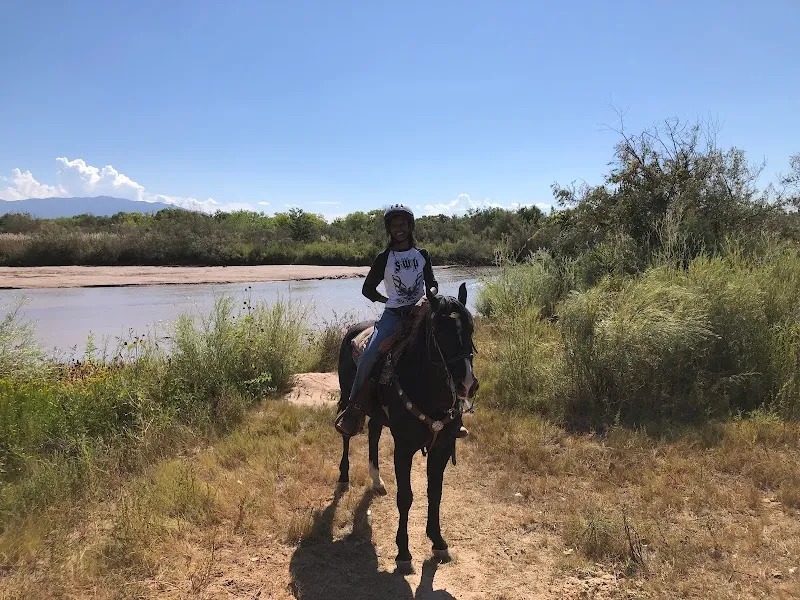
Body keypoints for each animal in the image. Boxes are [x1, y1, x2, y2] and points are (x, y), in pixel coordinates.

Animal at [336, 282, 479, 566]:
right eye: (440, 331)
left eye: (471, 328)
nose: (468, 384)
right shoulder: (403, 449)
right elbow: (406, 497)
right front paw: (403, 551)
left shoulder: (441, 447)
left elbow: (435, 493)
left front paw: (438, 541)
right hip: (348, 396)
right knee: (347, 435)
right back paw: (344, 476)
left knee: (373, 433)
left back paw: (377, 481)